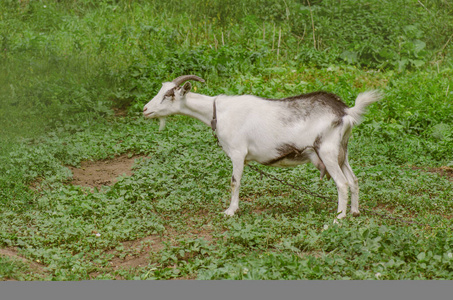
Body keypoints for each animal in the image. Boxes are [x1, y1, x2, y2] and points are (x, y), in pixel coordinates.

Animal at [142, 75, 382, 220]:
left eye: (169, 95)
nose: (145, 110)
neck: (218, 112)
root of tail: (345, 112)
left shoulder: (238, 153)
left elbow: (234, 182)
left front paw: (230, 211)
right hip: (343, 152)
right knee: (354, 180)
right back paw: (355, 212)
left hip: (328, 151)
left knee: (342, 183)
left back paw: (339, 217)